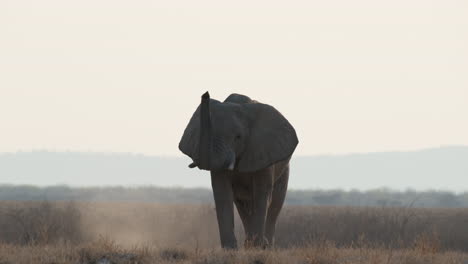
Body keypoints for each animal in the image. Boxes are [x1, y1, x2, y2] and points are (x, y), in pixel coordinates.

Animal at [177, 92, 298, 249]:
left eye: (238, 137)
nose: (206, 94)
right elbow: (222, 193)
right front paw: (231, 250)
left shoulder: (263, 152)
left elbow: (262, 195)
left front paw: (258, 248)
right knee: (242, 204)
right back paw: (249, 244)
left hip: (284, 168)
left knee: (275, 204)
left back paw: (266, 246)